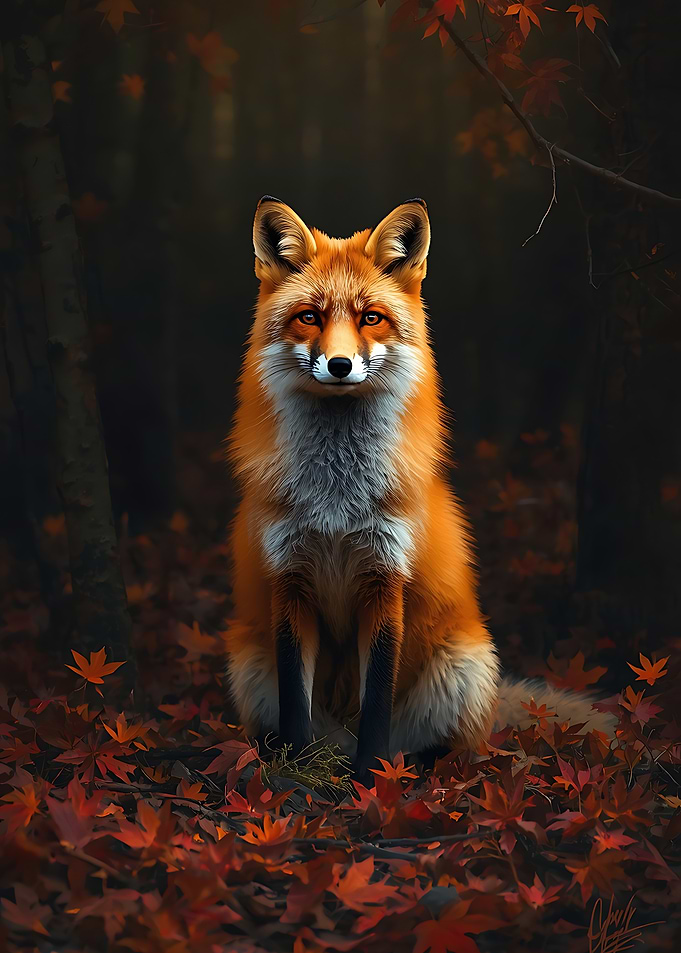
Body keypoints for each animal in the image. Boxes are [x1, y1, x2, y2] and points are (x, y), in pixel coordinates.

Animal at [224, 196, 614, 783]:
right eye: (310, 316)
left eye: (371, 317)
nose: (340, 364)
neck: (337, 500)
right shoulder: (289, 579)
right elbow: (295, 700)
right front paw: (294, 772)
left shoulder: (386, 578)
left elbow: (376, 699)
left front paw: (370, 778)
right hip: (249, 664)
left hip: (464, 665)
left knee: (453, 747)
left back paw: (414, 768)